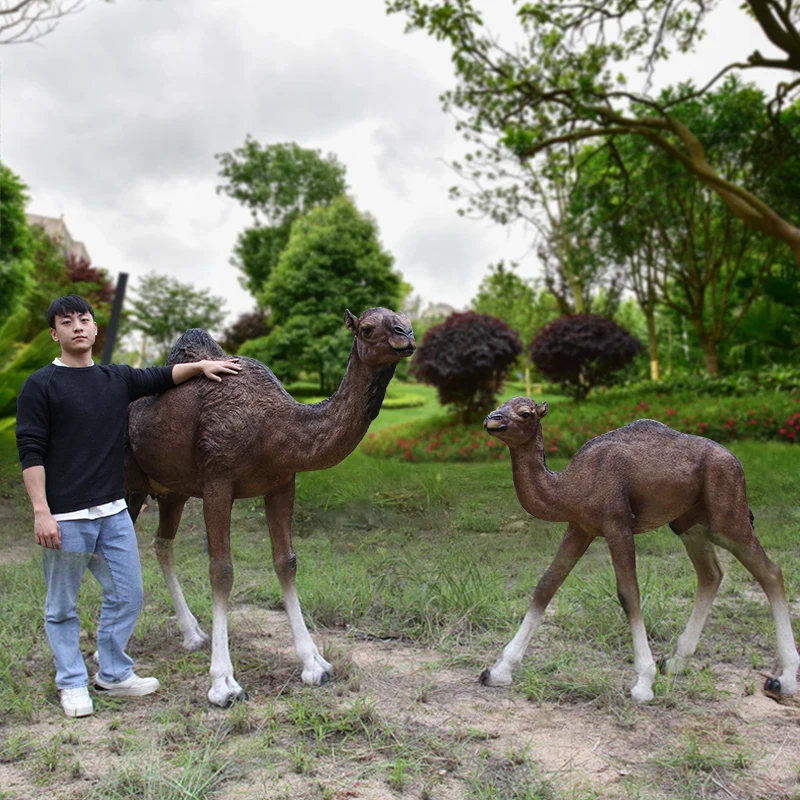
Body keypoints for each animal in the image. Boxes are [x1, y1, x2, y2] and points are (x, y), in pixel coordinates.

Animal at [124, 308, 415, 707]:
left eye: (404, 319)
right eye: (368, 328)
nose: (407, 336)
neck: (275, 426)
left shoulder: (281, 483)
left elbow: (286, 561)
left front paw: (315, 665)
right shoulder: (217, 482)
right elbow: (221, 570)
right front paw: (223, 684)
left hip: (172, 491)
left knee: (160, 544)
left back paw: (192, 634)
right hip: (129, 482)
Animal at [481, 396, 799, 703]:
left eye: (525, 413)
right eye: (501, 404)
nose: (491, 420)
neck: (570, 486)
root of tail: (736, 462)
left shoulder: (617, 523)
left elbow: (628, 593)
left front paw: (643, 684)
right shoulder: (580, 526)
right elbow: (547, 584)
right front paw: (497, 671)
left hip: (728, 516)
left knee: (770, 571)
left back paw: (783, 679)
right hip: (689, 523)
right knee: (711, 574)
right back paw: (675, 662)